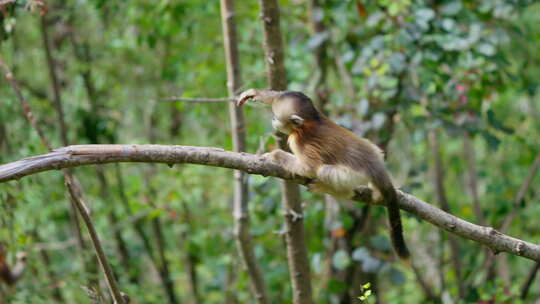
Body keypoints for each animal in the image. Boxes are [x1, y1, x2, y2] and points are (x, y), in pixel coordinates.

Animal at [236, 88, 410, 258]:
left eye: (277, 117)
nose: (272, 119)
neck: (309, 123)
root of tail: (376, 165)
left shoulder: (300, 143)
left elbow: (309, 168)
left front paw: (275, 155)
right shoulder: (317, 113)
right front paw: (254, 94)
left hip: (355, 175)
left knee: (325, 171)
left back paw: (333, 189)